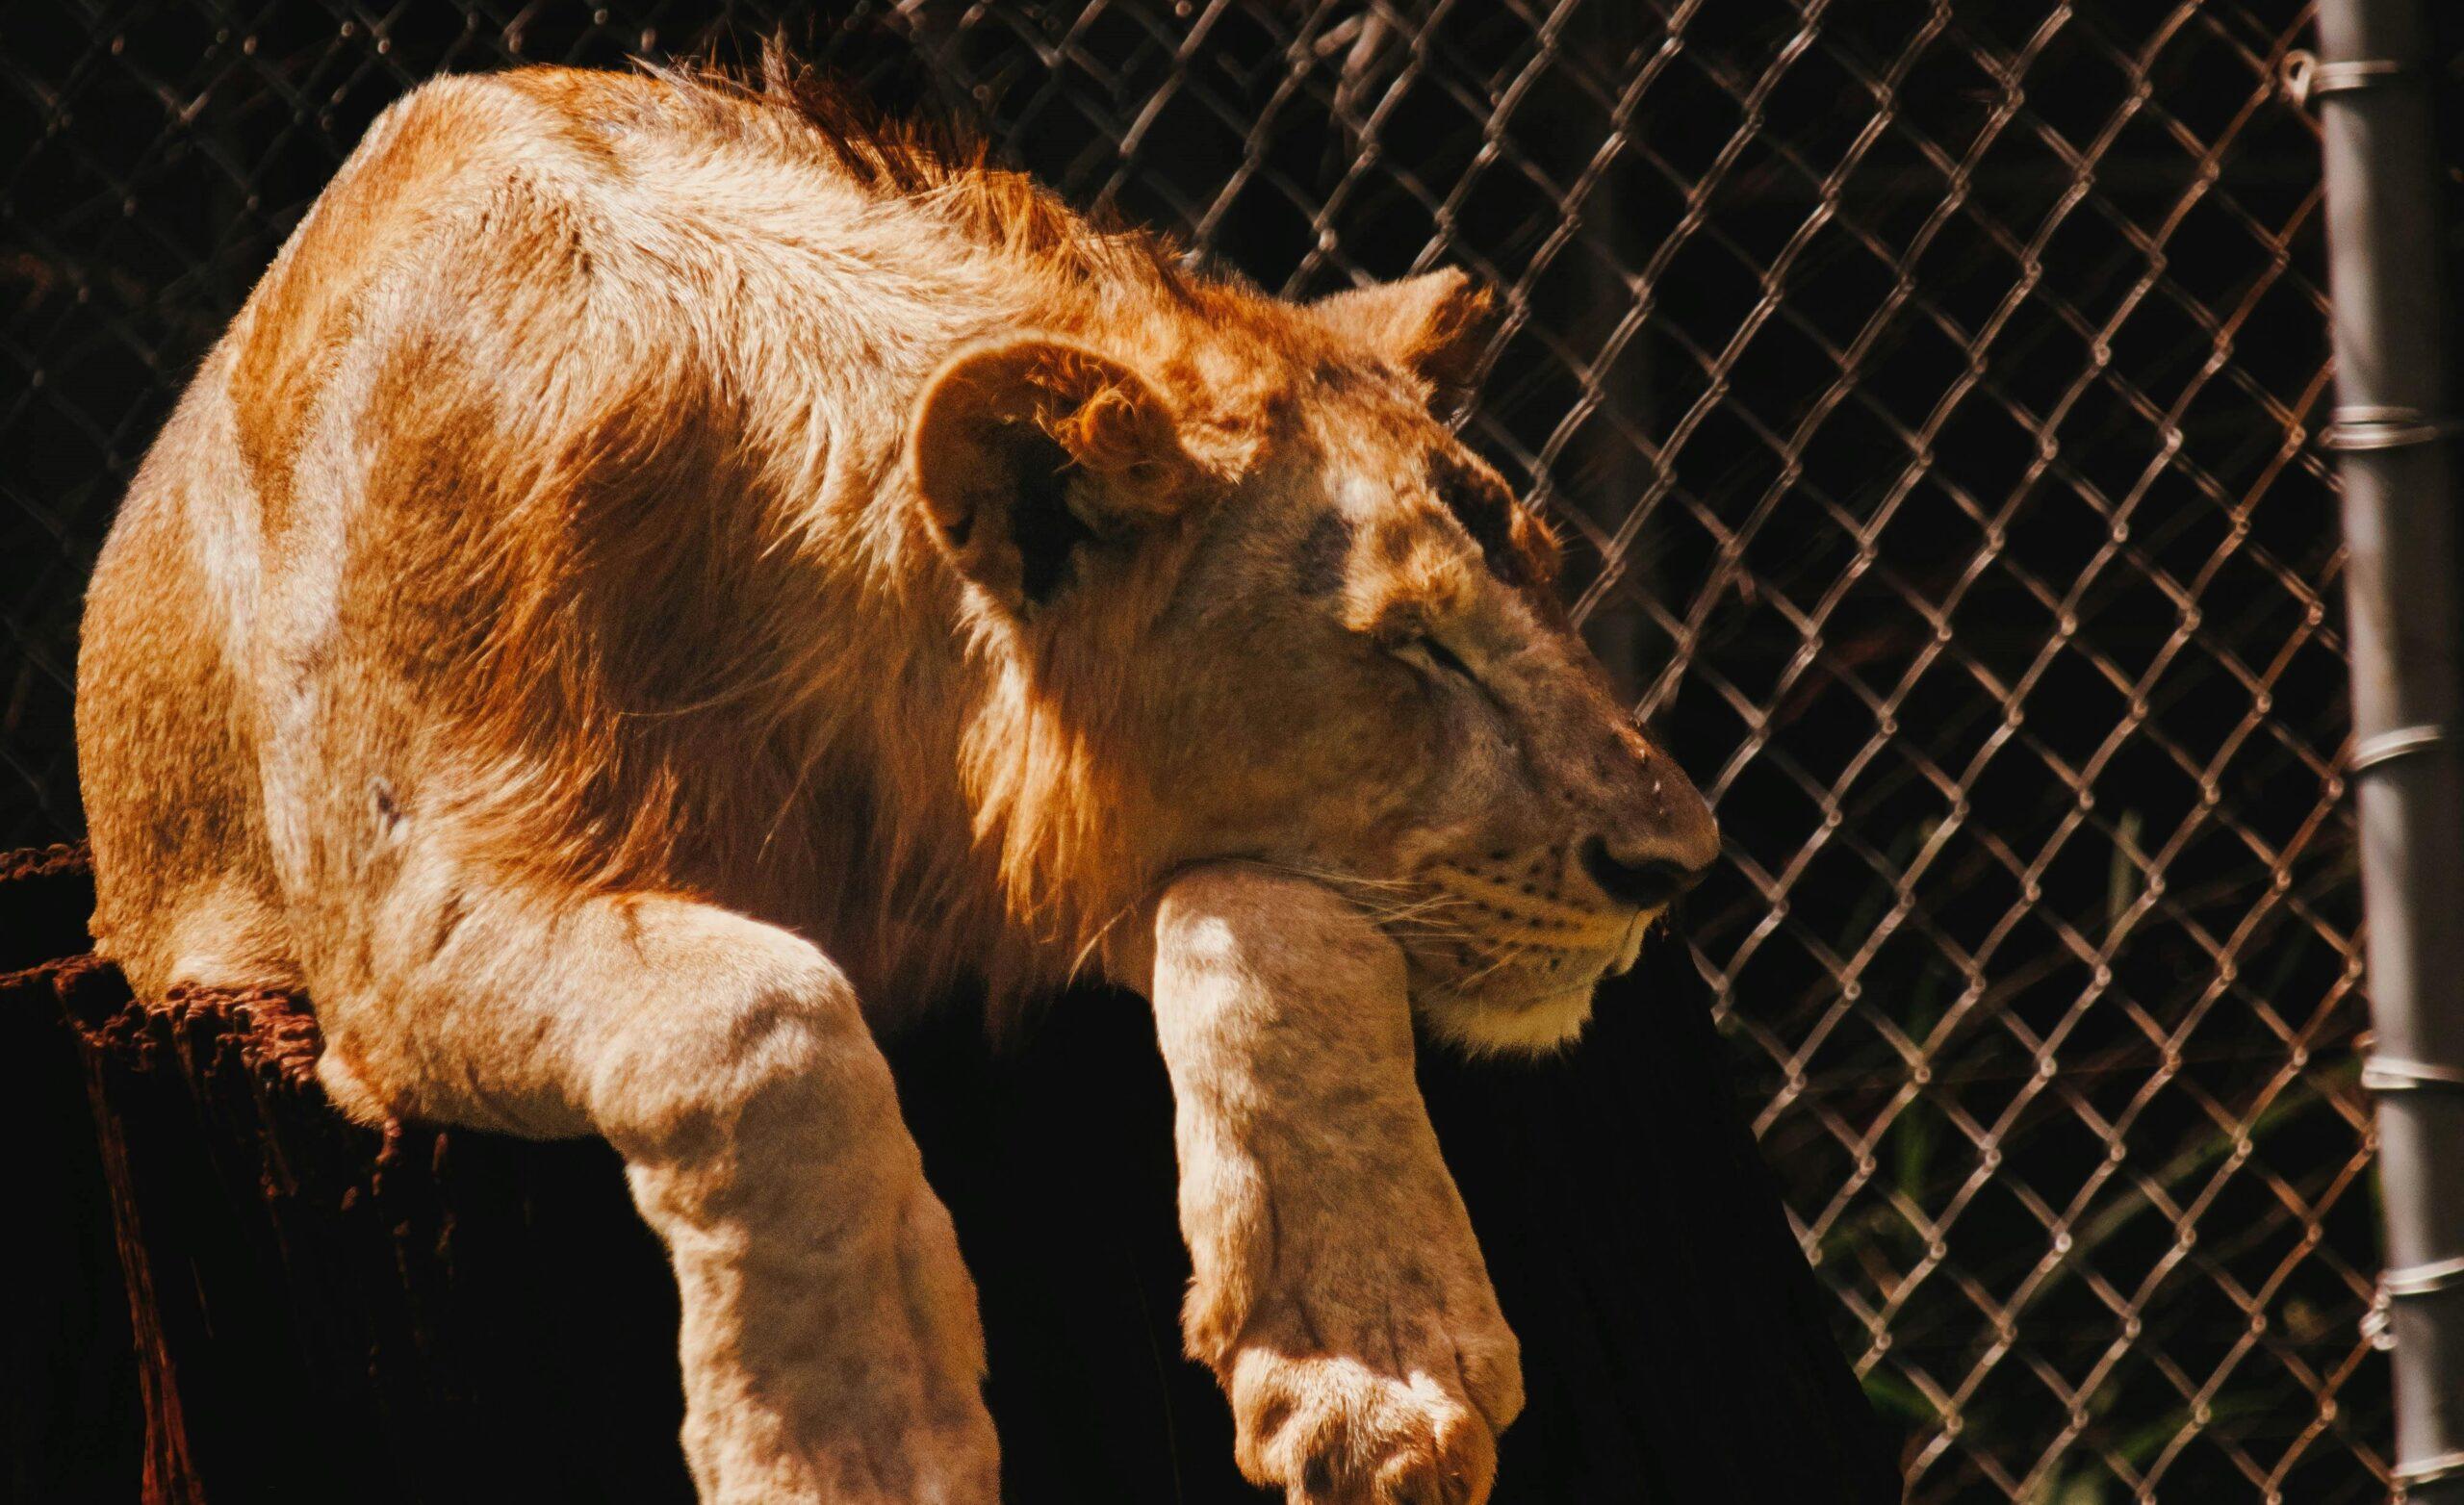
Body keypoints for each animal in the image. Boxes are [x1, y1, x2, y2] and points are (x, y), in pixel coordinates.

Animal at [82, 50, 1714, 1505]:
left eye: (1549, 584)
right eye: (1412, 645)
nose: (1680, 860)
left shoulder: (1012, 902)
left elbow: (1272, 924)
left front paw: (1373, 1371)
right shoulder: (394, 906)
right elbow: (762, 1012)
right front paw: (846, 1454)